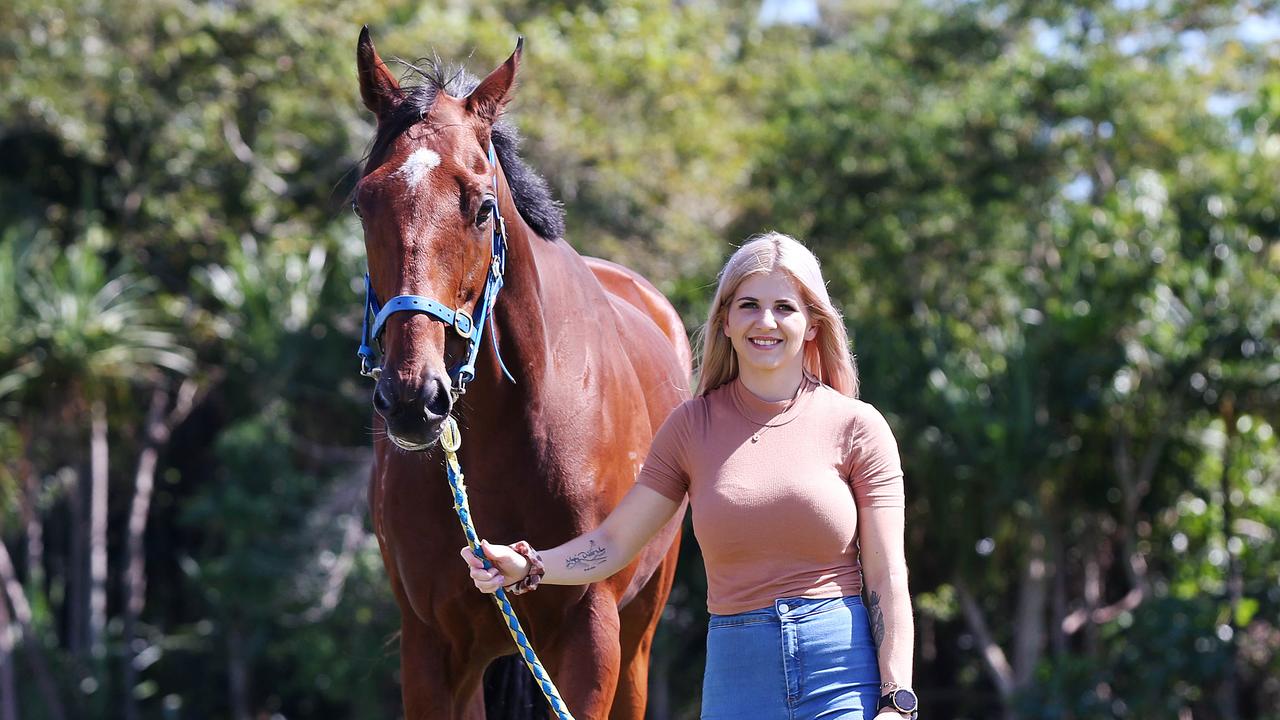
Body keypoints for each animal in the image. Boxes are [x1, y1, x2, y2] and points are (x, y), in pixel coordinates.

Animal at [350, 28, 691, 717]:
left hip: (639, 637)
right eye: (363, 204)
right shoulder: (430, 648)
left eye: (483, 207)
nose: (413, 399)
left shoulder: (592, 635)